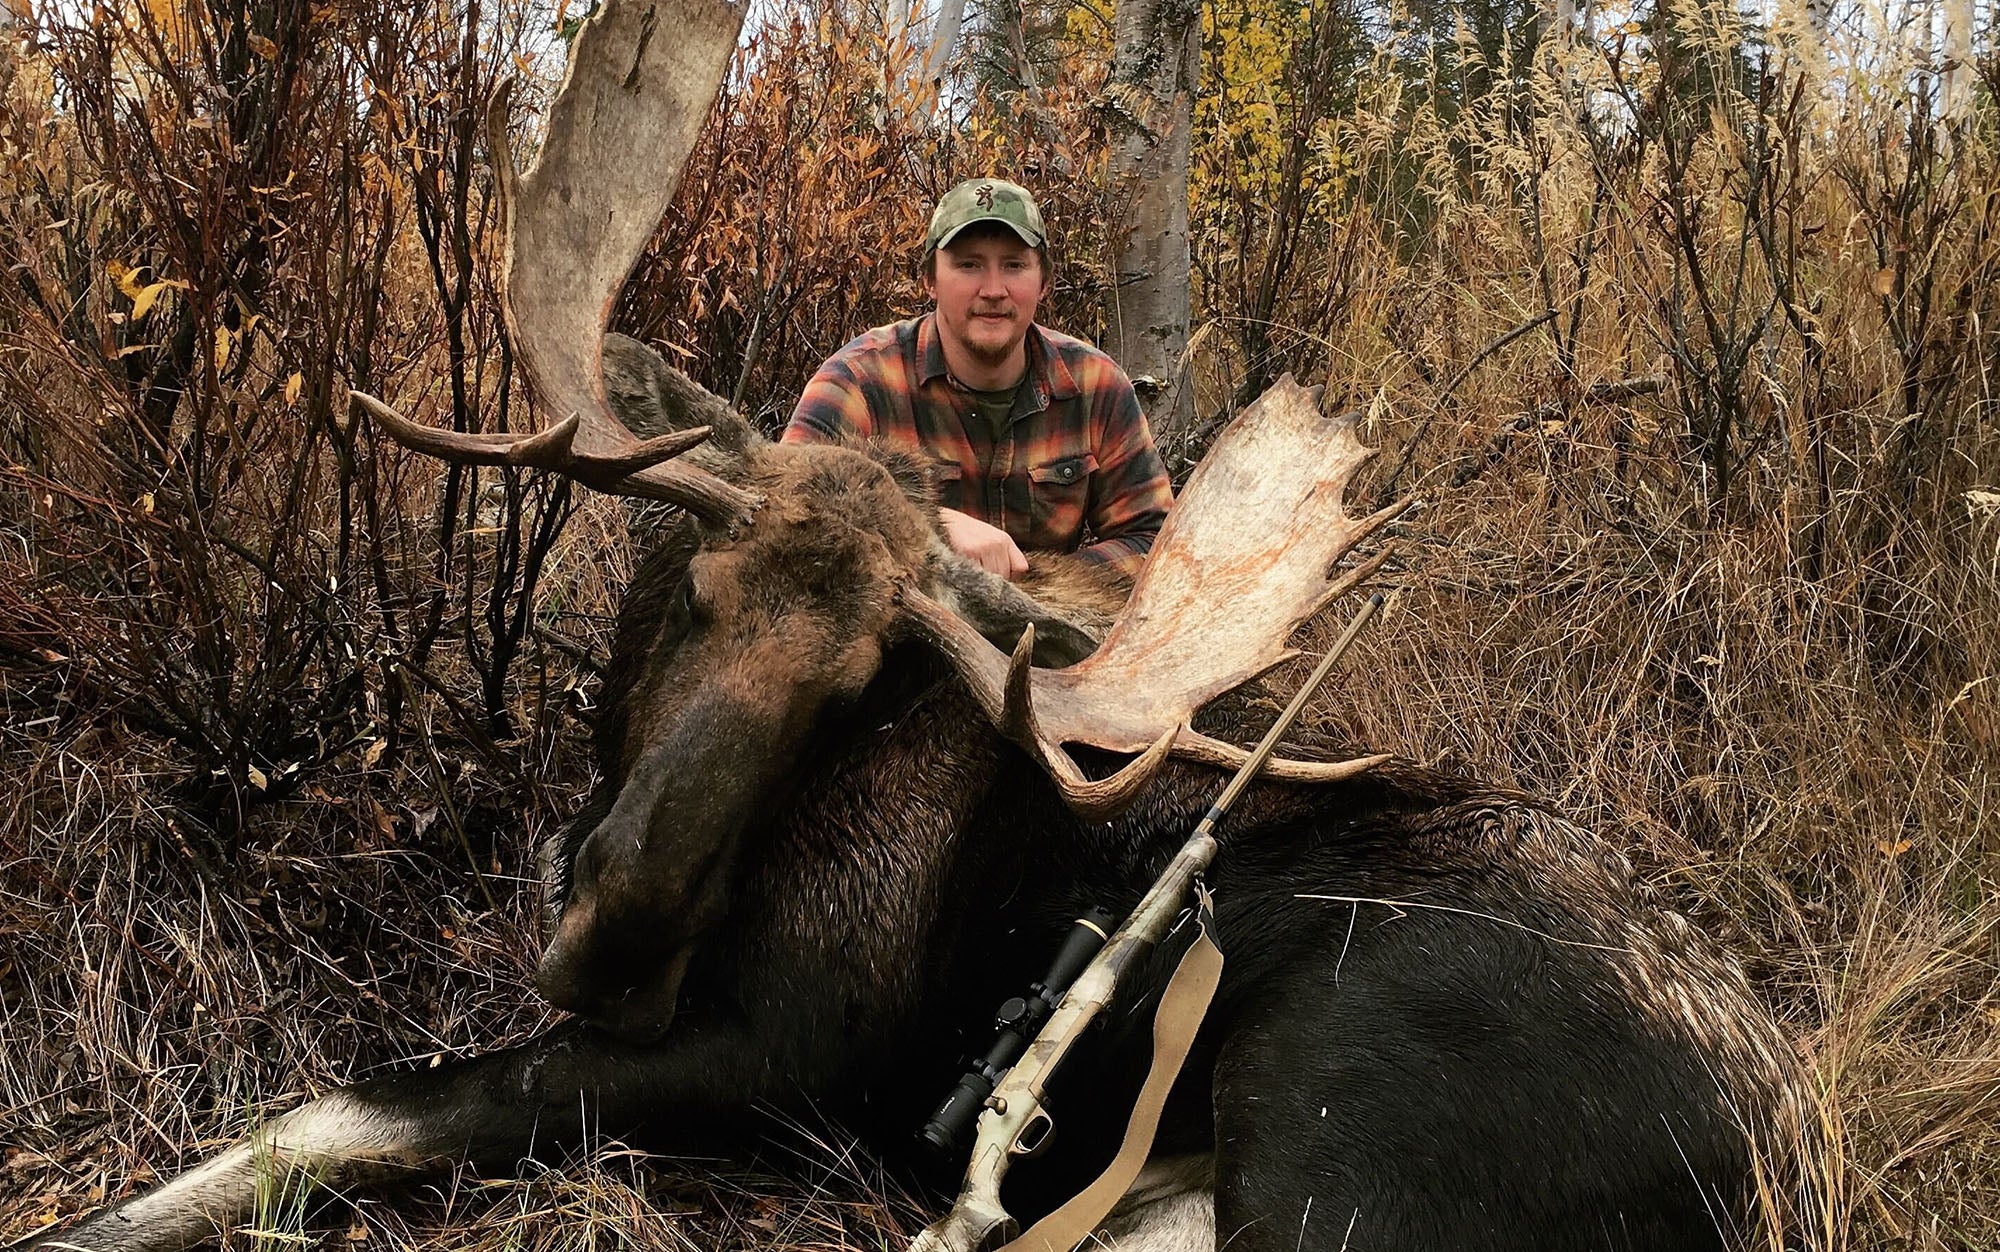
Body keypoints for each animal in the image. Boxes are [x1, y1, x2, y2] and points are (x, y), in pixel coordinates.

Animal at [37, 1, 1811, 1249]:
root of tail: (1790, 1147)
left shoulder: (770, 1057)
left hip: (1340, 1136)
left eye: (854, 687)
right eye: (696, 588)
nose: (613, 937)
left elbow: (328, 1119)